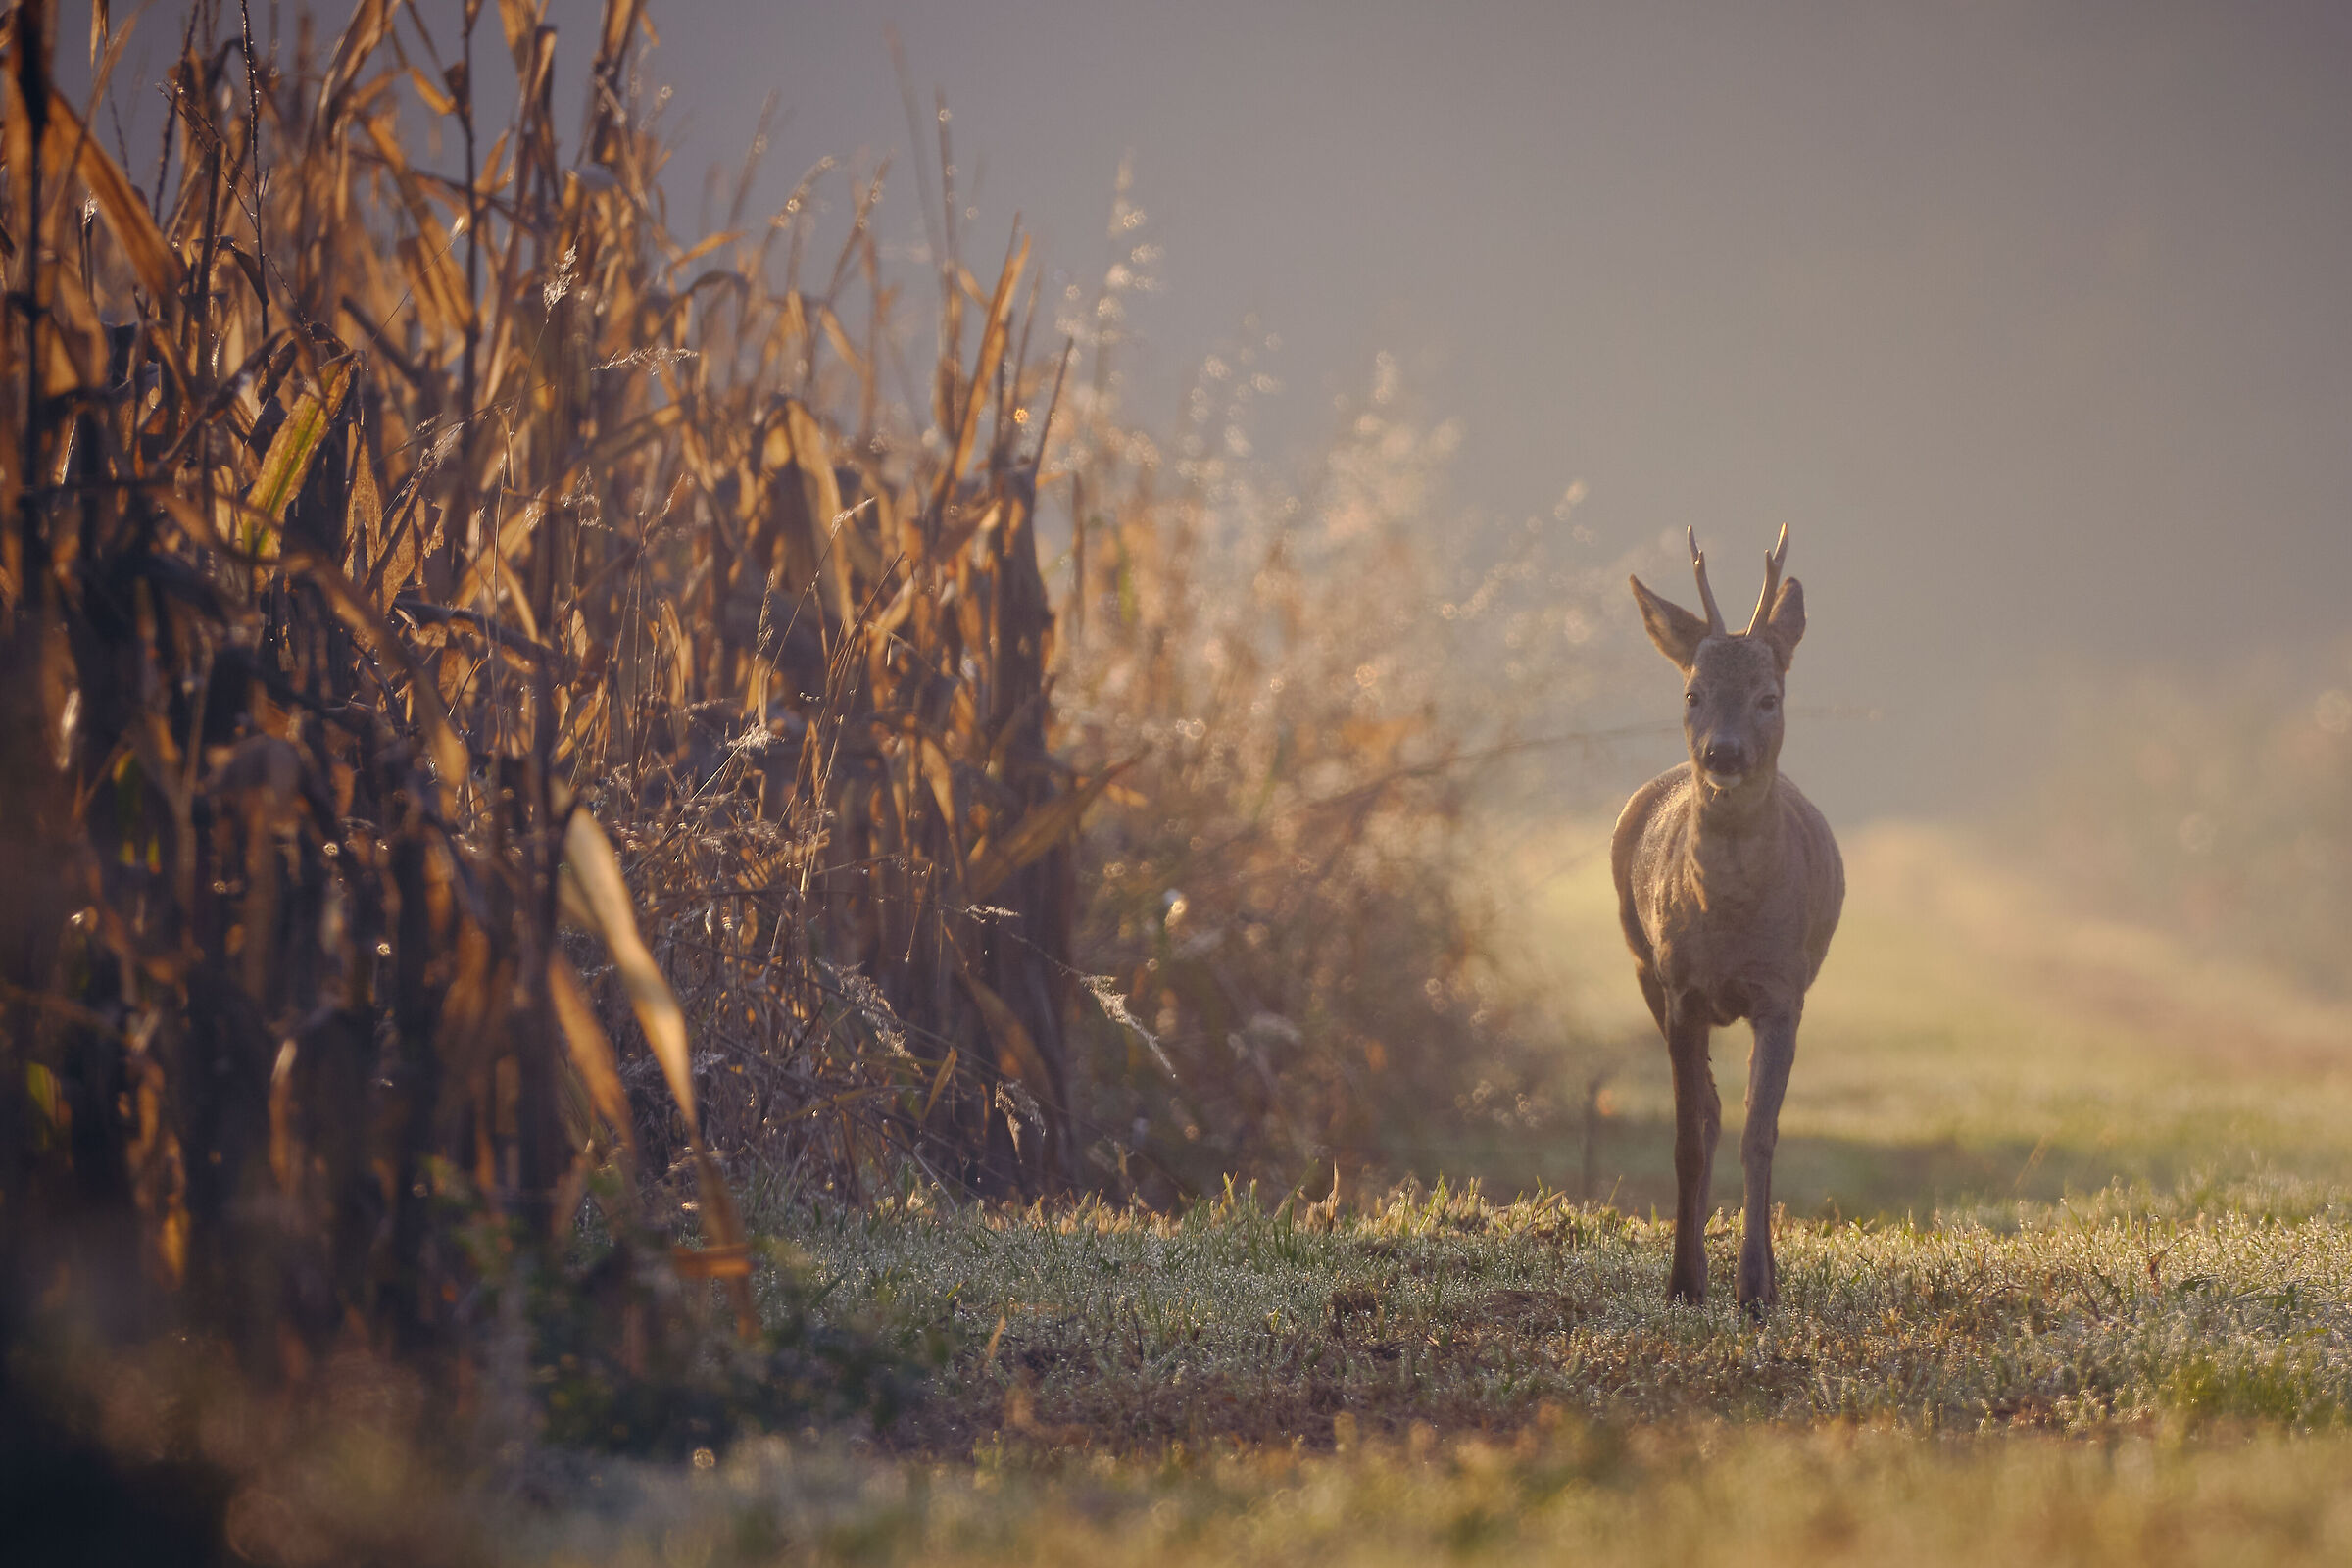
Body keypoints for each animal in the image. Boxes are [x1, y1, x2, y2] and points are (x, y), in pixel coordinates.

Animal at [1611, 525, 1844, 1314]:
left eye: (1769, 697)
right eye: (1693, 693)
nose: (1724, 752)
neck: (1732, 917)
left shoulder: (1783, 992)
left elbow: (1760, 1136)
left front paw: (1757, 1287)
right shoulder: (1682, 989)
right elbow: (1690, 1135)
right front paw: (1684, 1281)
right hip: (1642, 967)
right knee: (1708, 1113)